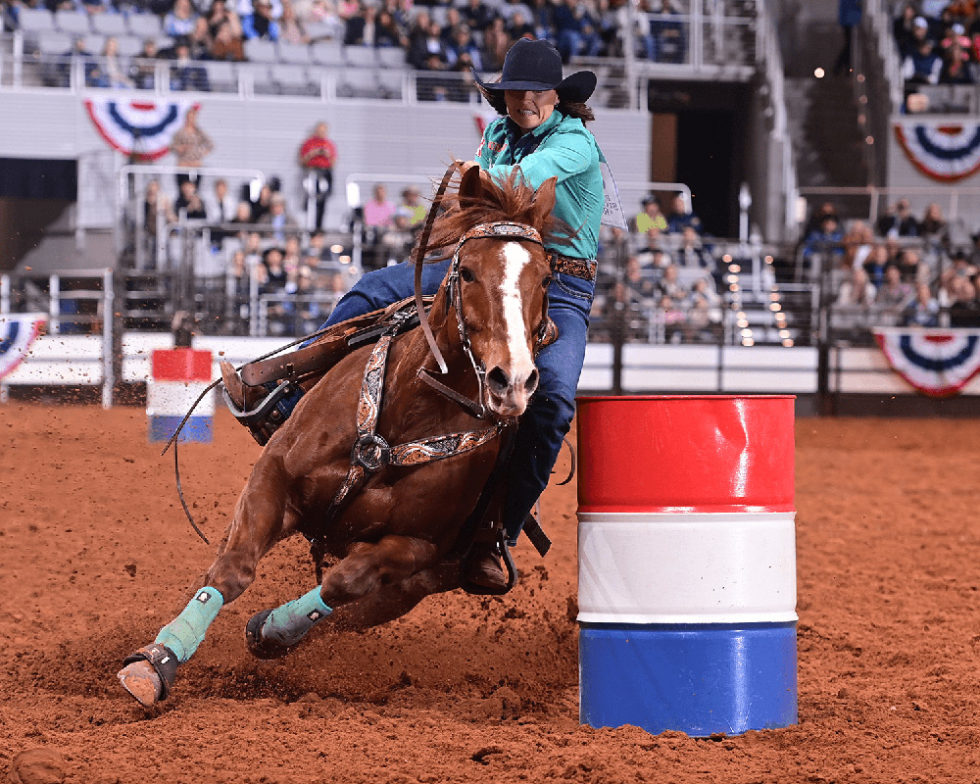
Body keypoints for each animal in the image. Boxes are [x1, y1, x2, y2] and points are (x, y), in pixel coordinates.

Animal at [117, 162, 562, 708]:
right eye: (468, 271)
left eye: (545, 277)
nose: (511, 380)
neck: (405, 418)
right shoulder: (274, 477)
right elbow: (233, 568)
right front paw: (157, 662)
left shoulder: (415, 548)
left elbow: (340, 585)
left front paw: (271, 630)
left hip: (418, 584)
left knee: (345, 616)